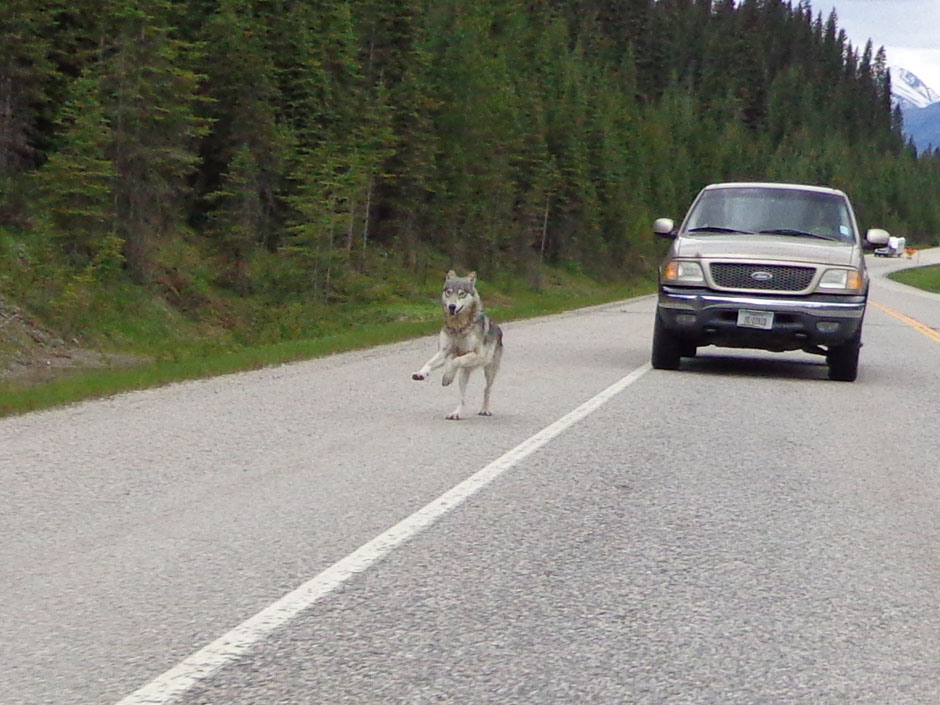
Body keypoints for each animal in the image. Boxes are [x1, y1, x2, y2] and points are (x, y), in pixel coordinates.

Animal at [410, 270, 504, 418]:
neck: (458, 327)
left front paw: (447, 377)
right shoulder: (443, 352)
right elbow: (429, 362)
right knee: (462, 398)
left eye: (461, 293)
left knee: (486, 390)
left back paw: (484, 410)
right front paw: (420, 374)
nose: (452, 306)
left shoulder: (478, 355)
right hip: (463, 375)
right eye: (449, 292)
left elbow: (454, 362)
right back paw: (456, 413)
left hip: (489, 371)